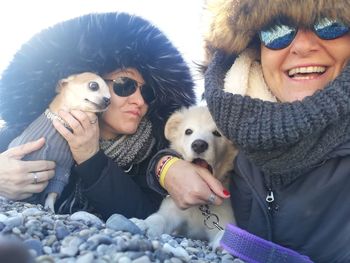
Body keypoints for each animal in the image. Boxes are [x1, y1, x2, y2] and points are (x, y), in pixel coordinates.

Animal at [8, 72, 110, 212]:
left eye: (110, 94)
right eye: (94, 85)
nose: (108, 100)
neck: (62, 122)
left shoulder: (62, 169)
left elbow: (53, 193)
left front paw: (50, 208)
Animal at [142, 105, 238, 250]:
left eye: (217, 133)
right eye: (188, 131)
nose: (199, 145)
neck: (200, 205)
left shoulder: (224, 218)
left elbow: (227, 230)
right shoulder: (171, 211)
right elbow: (159, 218)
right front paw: (146, 225)